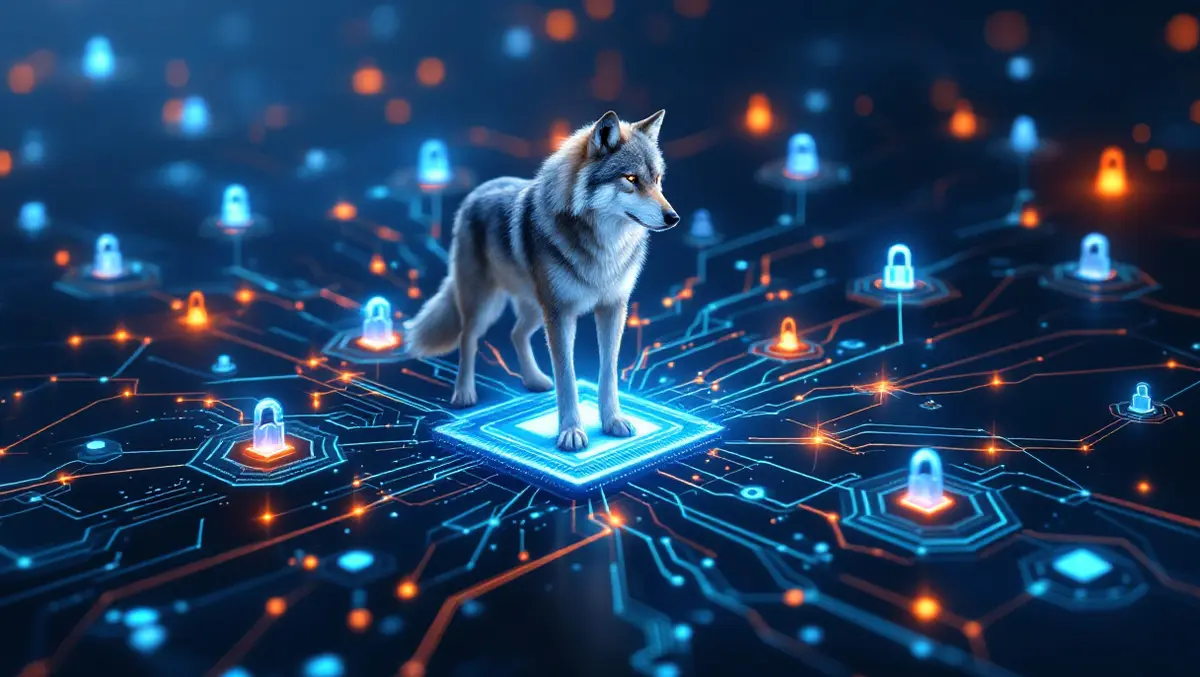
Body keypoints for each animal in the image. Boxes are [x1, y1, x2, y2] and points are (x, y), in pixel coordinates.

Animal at [404, 110, 679, 451]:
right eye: (630, 179)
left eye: (658, 180)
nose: (673, 217)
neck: (605, 249)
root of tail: (478, 189)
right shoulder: (560, 315)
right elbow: (567, 377)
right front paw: (571, 432)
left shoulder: (613, 308)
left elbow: (608, 372)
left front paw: (613, 421)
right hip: (487, 304)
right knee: (468, 338)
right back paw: (464, 393)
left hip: (535, 308)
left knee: (516, 334)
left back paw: (534, 380)